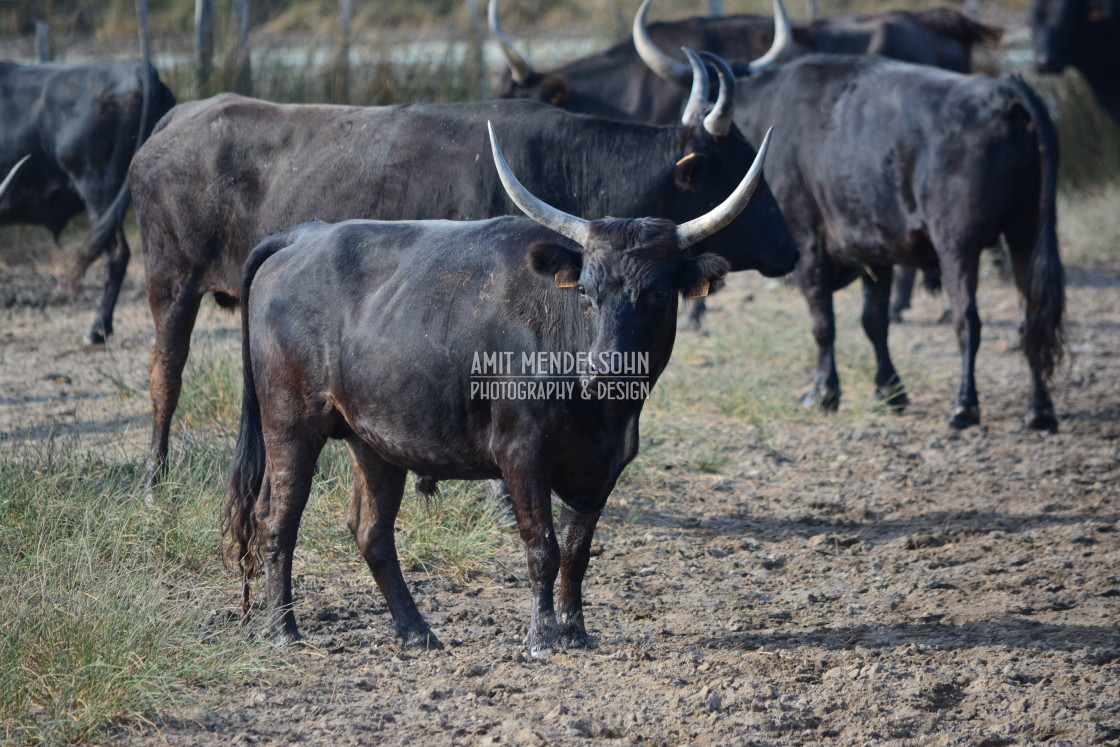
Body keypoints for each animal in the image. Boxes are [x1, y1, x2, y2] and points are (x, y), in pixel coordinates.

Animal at [131, 93, 797, 486]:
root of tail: (174, 118)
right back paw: (156, 473)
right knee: (166, 374)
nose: (793, 248)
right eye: (734, 168)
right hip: (170, 282)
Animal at [222, 125, 775, 658]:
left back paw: (416, 630)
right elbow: (543, 547)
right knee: (276, 518)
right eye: (586, 291)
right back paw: (283, 629)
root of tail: (306, 234)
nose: (605, 370)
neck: (598, 409)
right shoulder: (520, 454)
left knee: (371, 530)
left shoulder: (605, 465)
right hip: (290, 421)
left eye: (658, 293)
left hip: (374, 438)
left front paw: (575, 631)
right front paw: (540, 637)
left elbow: (578, 550)